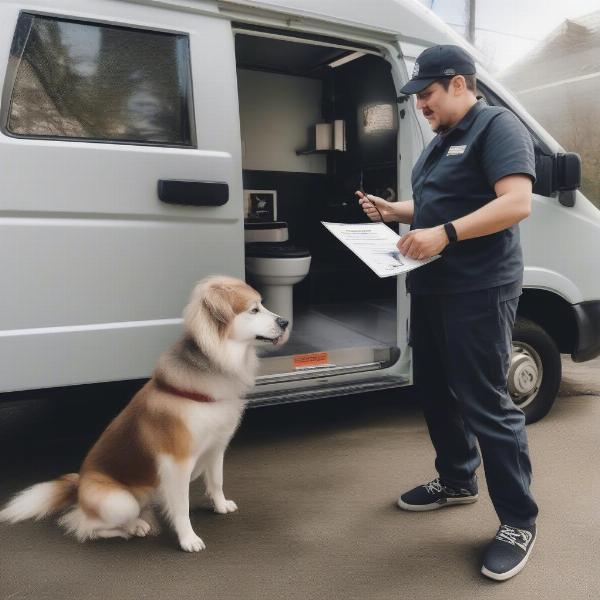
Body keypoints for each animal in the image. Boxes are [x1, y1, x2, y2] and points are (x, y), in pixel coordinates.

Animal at [0, 274, 288, 552]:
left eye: (262, 305)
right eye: (253, 309)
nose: (285, 322)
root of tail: (79, 486)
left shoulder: (217, 447)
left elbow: (216, 481)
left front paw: (220, 504)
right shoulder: (177, 463)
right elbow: (182, 507)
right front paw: (188, 539)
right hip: (120, 501)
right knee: (86, 526)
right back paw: (135, 526)